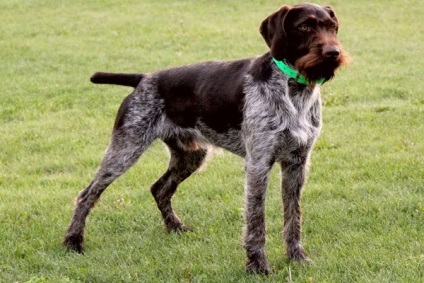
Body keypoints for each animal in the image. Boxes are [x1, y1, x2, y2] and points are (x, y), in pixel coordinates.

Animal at [63, 2, 348, 276]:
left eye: (332, 27)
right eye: (304, 27)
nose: (333, 52)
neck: (294, 88)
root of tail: (144, 79)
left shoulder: (296, 164)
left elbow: (293, 217)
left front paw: (297, 258)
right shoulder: (259, 163)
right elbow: (257, 221)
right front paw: (257, 266)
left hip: (190, 156)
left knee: (159, 188)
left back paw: (175, 227)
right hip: (125, 149)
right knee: (88, 194)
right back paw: (73, 242)